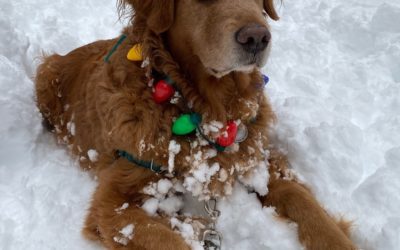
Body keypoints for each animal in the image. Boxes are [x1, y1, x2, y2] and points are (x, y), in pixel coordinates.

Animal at [35, 0, 356, 250]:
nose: (257, 37)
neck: (207, 108)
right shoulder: (112, 203)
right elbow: (166, 240)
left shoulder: (257, 161)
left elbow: (306, 205)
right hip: (44, 72)